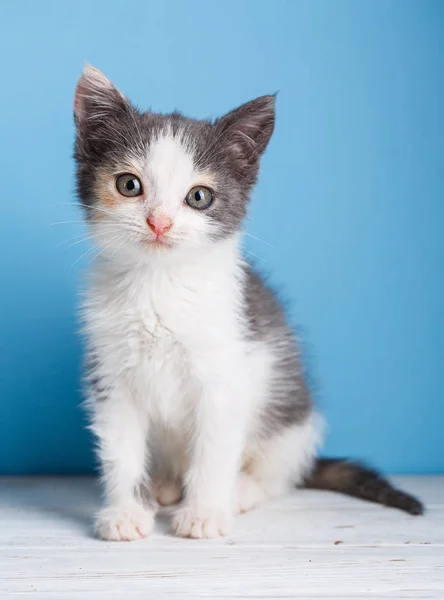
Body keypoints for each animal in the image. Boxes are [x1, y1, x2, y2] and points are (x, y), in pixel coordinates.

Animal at [73, 64, 424, 540]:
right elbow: (121, 451)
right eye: (129, 185)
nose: (160, 223)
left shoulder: (227, 372)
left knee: (280, 475)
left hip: (292, 421)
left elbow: (214, 448)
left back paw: (240, 491)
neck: (159, 283)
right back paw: (165, 487)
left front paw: (204, 513)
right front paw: (126, 514)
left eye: (198, 196)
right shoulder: (111, 376)